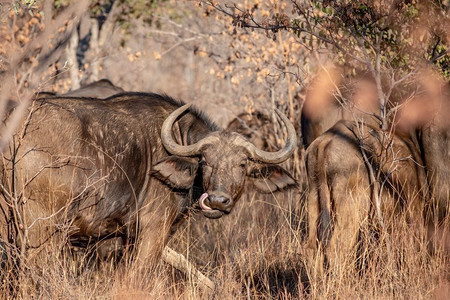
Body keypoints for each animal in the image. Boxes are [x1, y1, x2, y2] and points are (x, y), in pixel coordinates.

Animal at [0, 91, 298, 270]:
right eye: (204, 161)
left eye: (242, 164)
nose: (217, 201)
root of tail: (13, 133)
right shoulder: (153, 231)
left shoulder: (127, 239)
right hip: (41, 231)